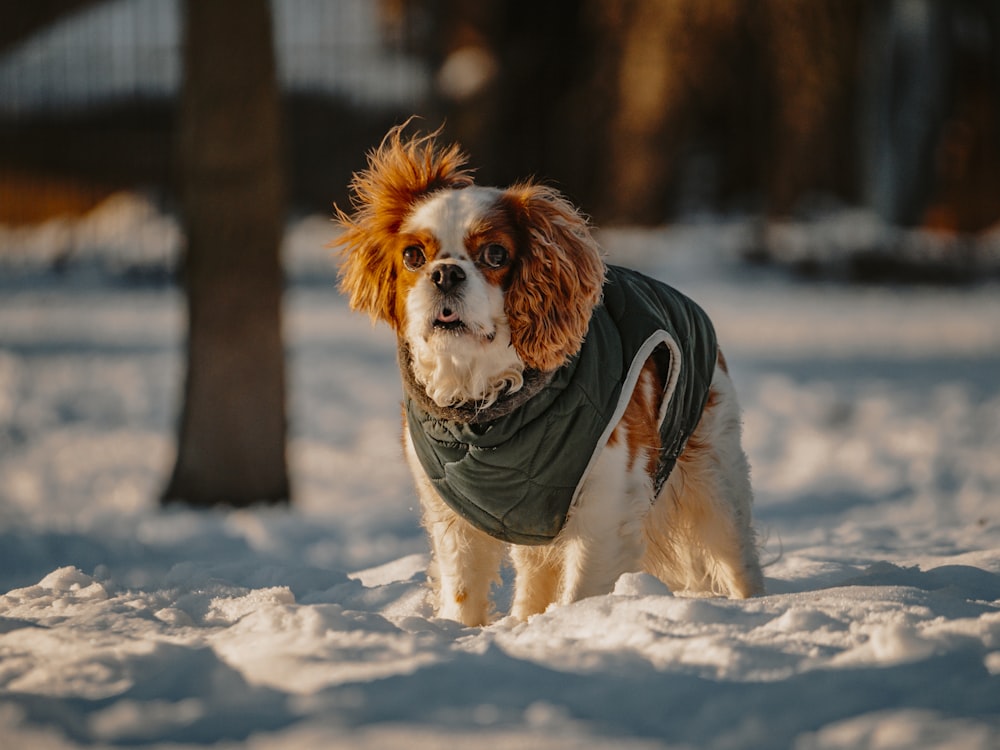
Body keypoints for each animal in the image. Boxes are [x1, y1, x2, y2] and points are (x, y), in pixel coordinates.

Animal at [336, 125, 764, 628]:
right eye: (413, 256)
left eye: (495, 254)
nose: (445, 274)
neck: (486, 402)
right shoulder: (456, 516)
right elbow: (462, 591)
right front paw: (460, 633)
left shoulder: (605, 504)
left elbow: (582, 591)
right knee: (534, 574)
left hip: (715, 481)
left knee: (737, 555)